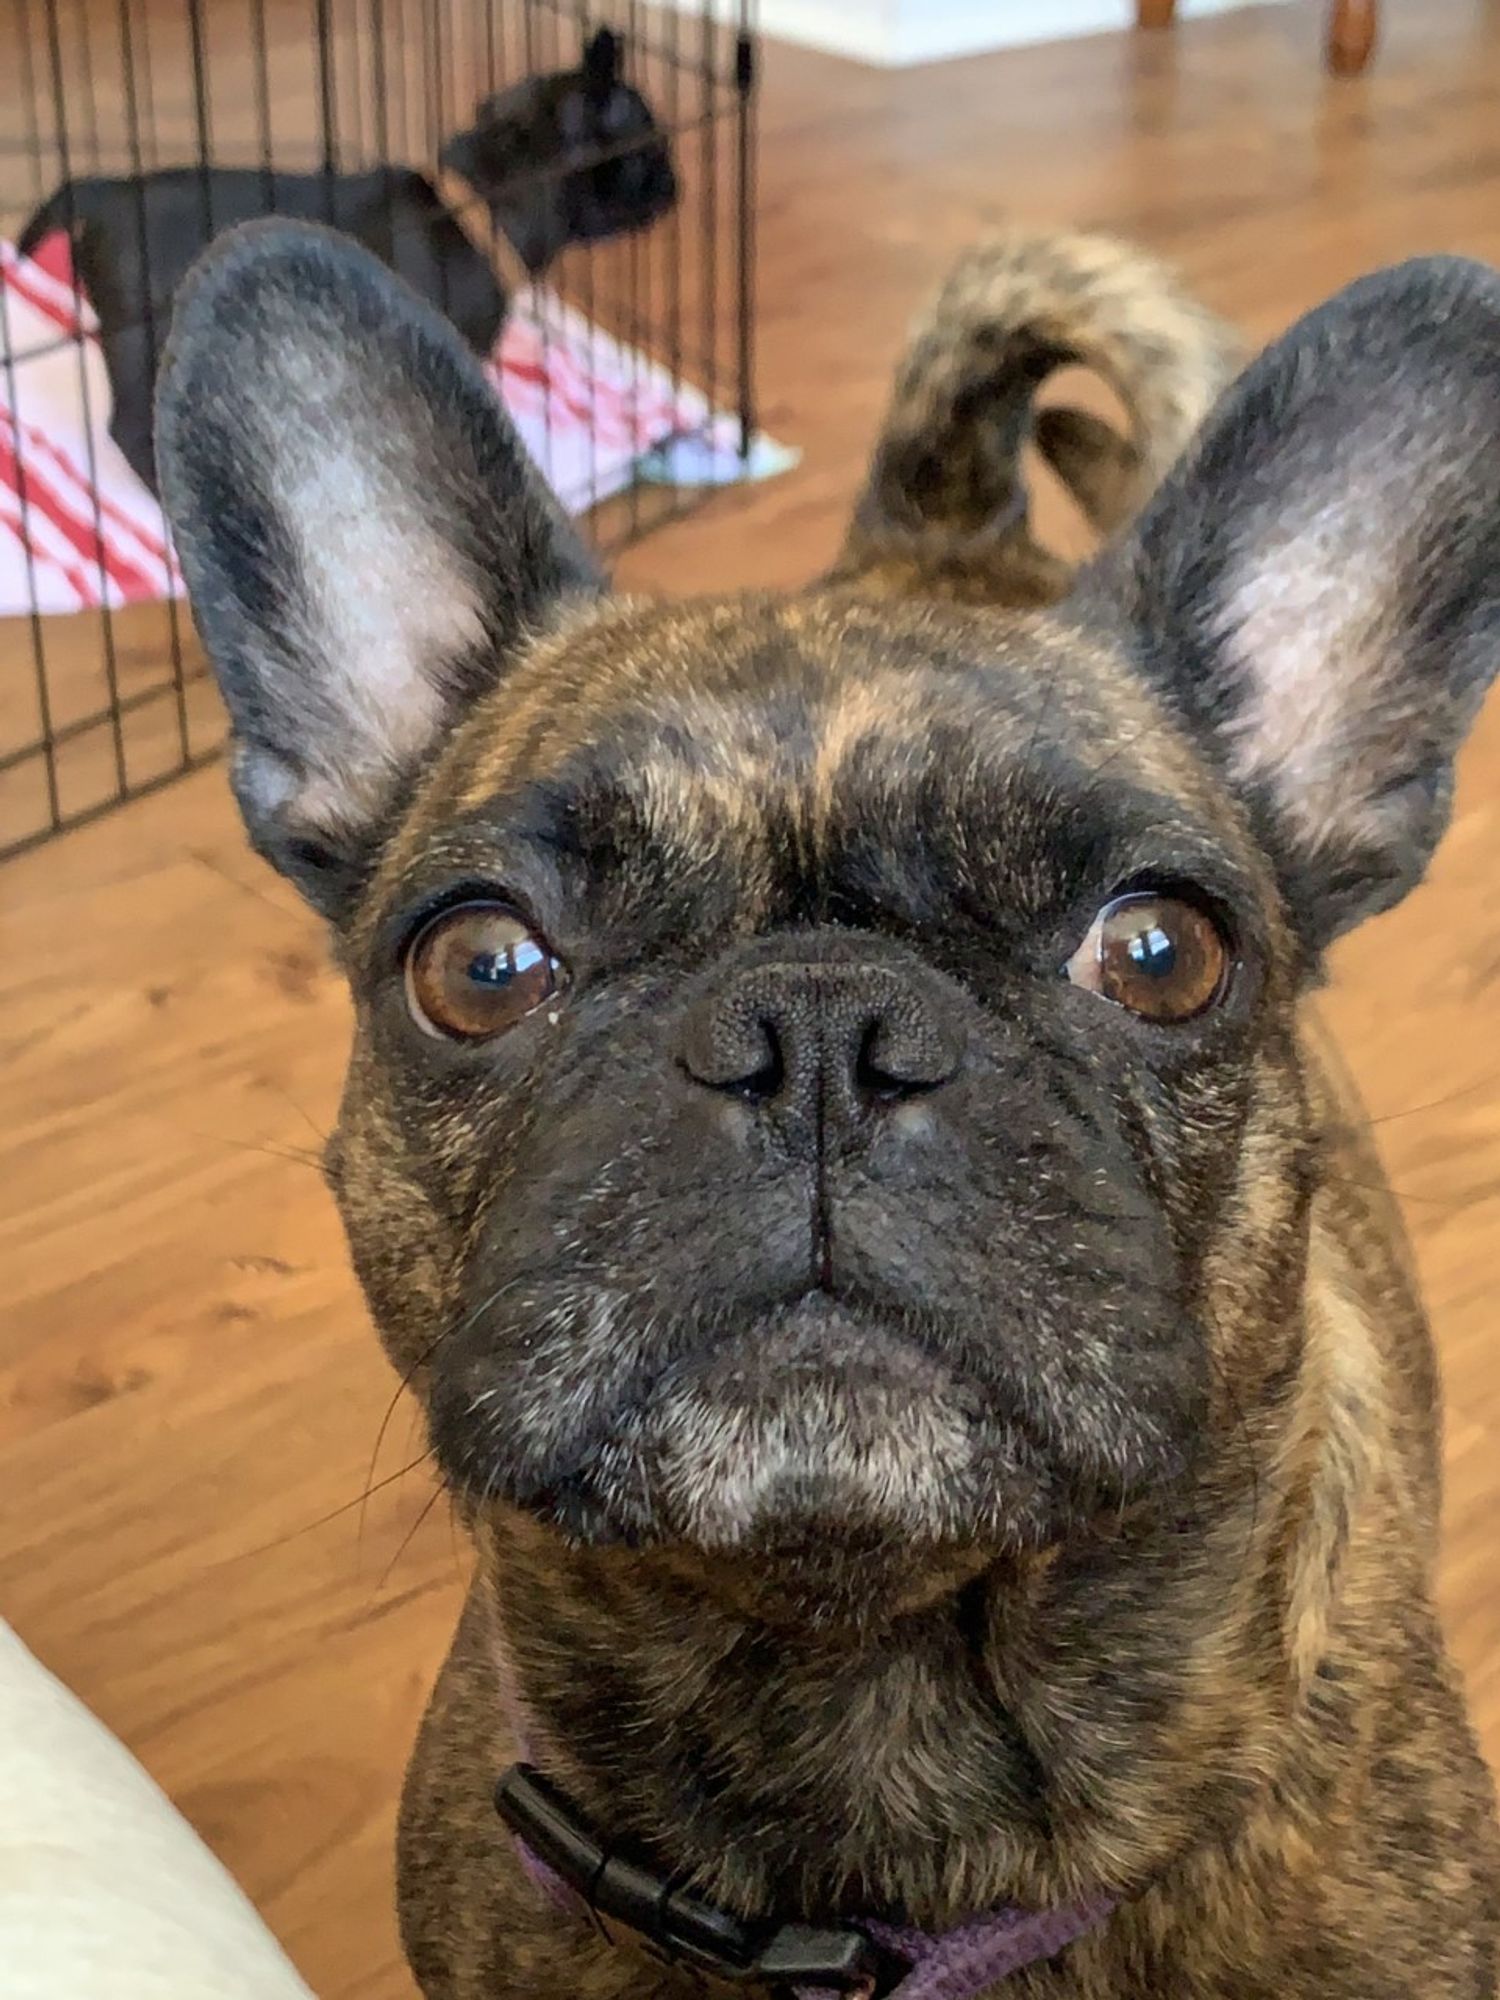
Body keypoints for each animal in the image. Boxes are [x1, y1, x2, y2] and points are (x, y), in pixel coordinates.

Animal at [16, 29, 676, 494]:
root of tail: (103, 190)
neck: (479, 202)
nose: (677, 184)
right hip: (139, 342)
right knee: (129, 429)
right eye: (648, 154)